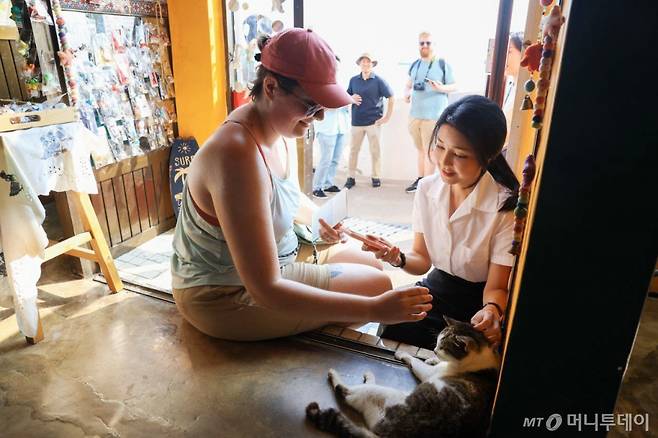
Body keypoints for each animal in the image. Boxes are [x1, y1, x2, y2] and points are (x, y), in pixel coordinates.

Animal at [304, 316, 500, 436]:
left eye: (443, 346)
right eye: (437, 343)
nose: (435, 349)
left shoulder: (430, 374)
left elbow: (415, 360)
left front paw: (403, 354)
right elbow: (428, 361)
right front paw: (431, 358)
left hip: (381, 395)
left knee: (346, 392)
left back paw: (336, 374)